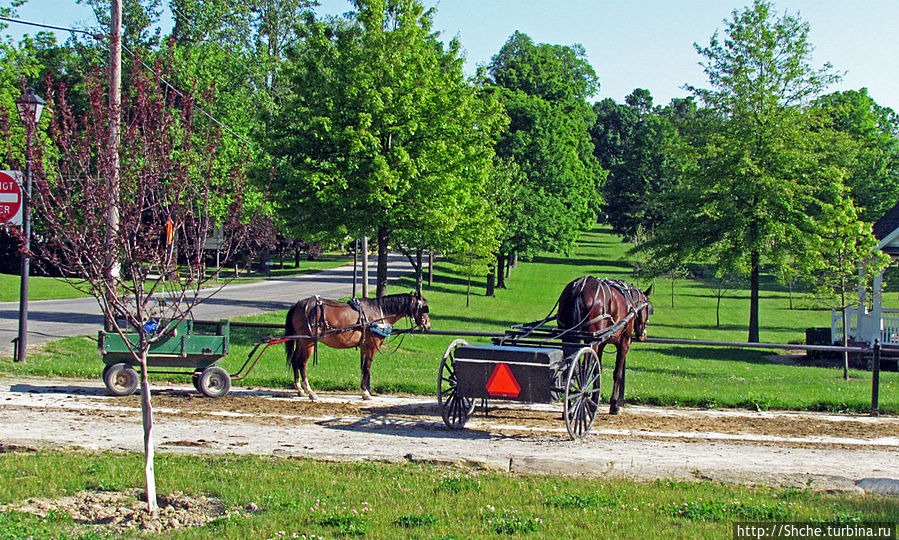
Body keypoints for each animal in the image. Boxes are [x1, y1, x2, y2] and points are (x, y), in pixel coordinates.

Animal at [286, 292, 430, 400]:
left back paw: (300, 389)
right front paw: (366, 393)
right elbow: (367, 367)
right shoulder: (372, 347)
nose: (428, 326)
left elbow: (363, 367)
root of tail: (299, 304)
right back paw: (310, 391)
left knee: (295, 360)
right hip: (308, 342)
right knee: (302, 364)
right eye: (424, 308)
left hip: (301, 341)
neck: (379, 313)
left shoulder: (364, 346)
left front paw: (364, 390)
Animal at [556, 276, 652, 416]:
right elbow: (617, 373)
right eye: (647, 308)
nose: (643, 334)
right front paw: (614, 405)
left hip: (567, 336)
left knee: (569, 368)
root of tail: (579, 286)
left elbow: (598, 369)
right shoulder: (624, 342)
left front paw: (595, 400)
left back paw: (568, 408)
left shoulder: (600, 343)